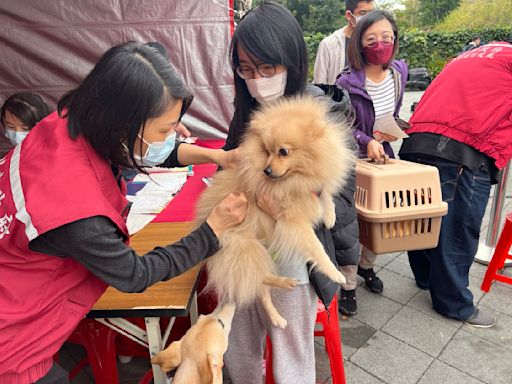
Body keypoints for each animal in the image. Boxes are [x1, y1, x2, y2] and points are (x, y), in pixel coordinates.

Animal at [196, 95, 356, 328]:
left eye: (283, 151)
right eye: (266, 151)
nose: (267, 170)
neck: (298, 177)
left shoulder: (313, 186)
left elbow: (325, 193)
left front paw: (329, 216)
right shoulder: (295, 222)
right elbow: (317, 249)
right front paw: (335, 273)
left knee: (261, 288)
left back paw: (279, 306)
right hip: (247, 248)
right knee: (258, 279)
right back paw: (281, 292)